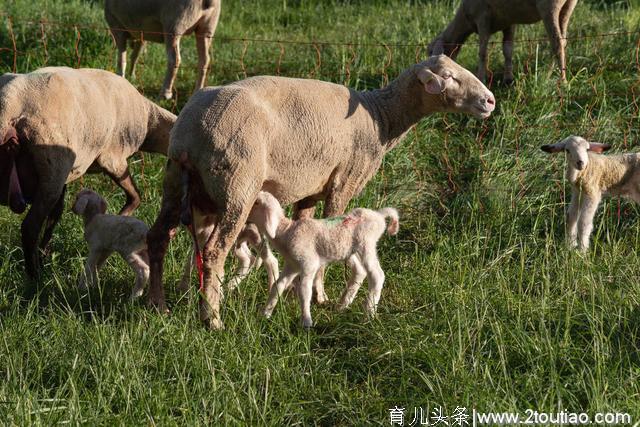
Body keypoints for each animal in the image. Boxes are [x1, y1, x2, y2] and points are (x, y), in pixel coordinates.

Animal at [0, 66, 175, 280]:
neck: (150, 120)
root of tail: (9, 105)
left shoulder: (66, 177)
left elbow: (56, 213)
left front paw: (45, 253)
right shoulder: (112, 159)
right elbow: (135, 197)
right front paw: (118, 220)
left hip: (51, 173)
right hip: (52, 171)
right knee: (30, 227)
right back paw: (35, 278)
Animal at [248, 192, 398, 330]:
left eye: (256, 203)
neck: (286, 231)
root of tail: (378, 215)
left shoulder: (309, 264)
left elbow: (304, 292)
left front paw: (306, 322)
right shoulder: (292, 265)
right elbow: (277, 286)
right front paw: (265, 314)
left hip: (366, 244)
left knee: (377, 275)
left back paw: (368, 314)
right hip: (351, 250)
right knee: (360, 272)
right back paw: (342, 305)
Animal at [430, 0, 580, 84]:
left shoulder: (483, 18)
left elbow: (482, 53)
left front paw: (481, 78)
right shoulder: (508, 22)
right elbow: (508, 50)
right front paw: (508, 78)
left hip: (549, 7)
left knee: (557, 44)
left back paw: (562, 81)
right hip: (567, 7)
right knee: (562, 42)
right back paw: (547, 76)